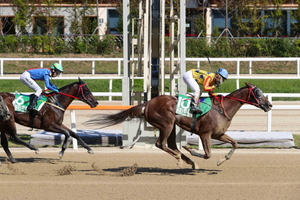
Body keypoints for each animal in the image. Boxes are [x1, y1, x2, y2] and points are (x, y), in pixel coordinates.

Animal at [88, 82, 272, 169]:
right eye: (258, 93)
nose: (269, 105)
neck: (223, 108)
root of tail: (147, 104)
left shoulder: (218, 134)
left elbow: (235, 144)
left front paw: (221, 160)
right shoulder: (205, 134)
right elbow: (207, 154)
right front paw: (191, 149)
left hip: (171, 126)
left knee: (170, 145)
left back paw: (188, 161)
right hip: (166, 124)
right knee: (160, 144)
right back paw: (181, 159)